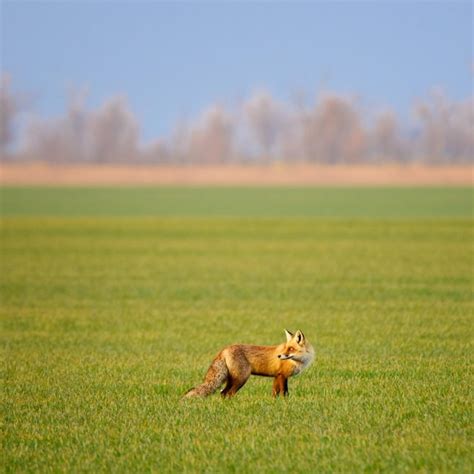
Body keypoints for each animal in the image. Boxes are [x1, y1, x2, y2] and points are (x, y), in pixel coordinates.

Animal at [183, 330, 312, 396]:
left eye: (291, 349)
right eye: (286, 348)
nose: (279, 356)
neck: (297, 361)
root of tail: (224, 349)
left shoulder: (277, 376)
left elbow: (275, 393)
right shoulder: (282, 375)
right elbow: (284, 393)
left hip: (232, 379)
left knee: (223, 393)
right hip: (242, 378)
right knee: (228, 393)